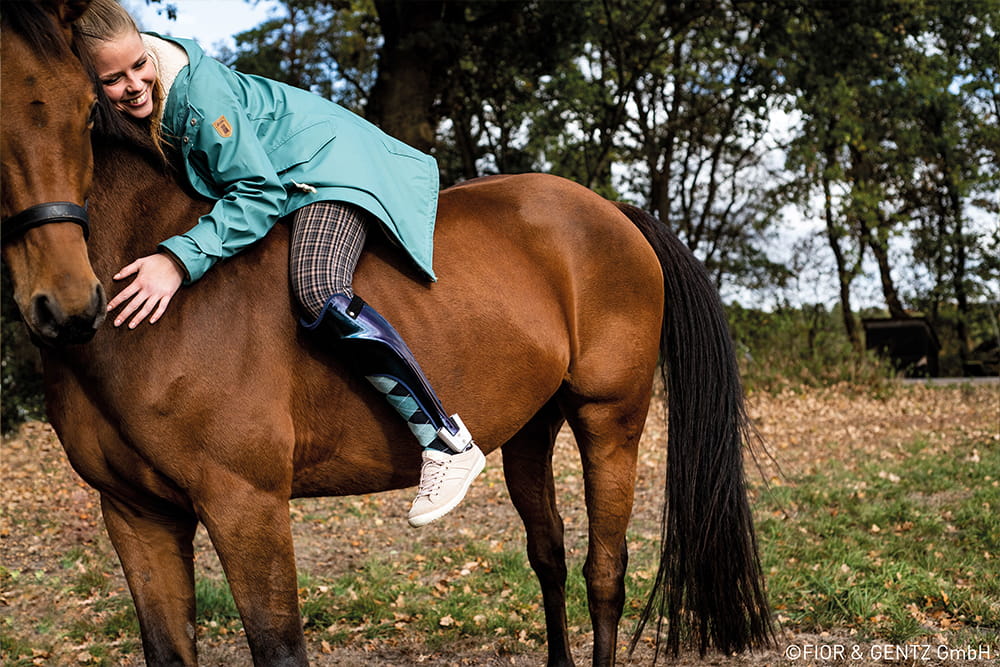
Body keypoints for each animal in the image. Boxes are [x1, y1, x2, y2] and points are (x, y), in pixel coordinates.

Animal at [0, 1, 773, 665]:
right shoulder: (137, 516)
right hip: (531, 425)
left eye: (83, 111)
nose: (68, 303)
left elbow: (279, 646)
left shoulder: (245, 505)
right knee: (549, 556)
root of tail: (610, 210)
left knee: (603, 572)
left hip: (610, 419)